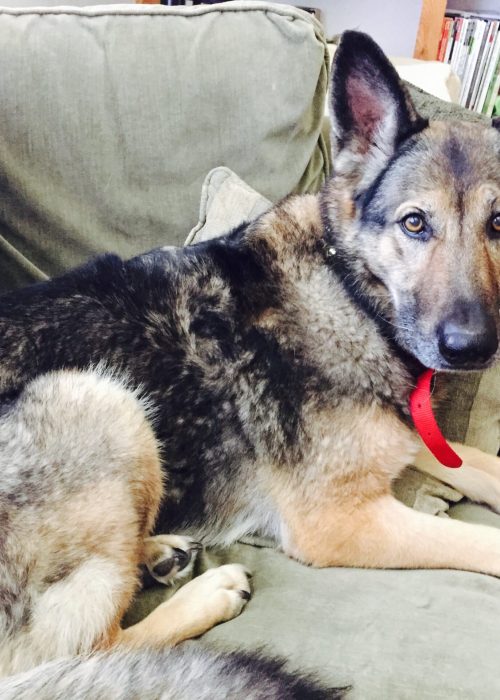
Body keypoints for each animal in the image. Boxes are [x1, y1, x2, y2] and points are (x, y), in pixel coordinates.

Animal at [0, 28, 499, 696]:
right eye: (415, 223)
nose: (472, 348)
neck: (347, 286)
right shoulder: (342, 521)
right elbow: (480, 541)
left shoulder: (401, 438)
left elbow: (481, 465)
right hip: (97, 399)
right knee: (82, 649)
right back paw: (207, 592)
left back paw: (156, 553)